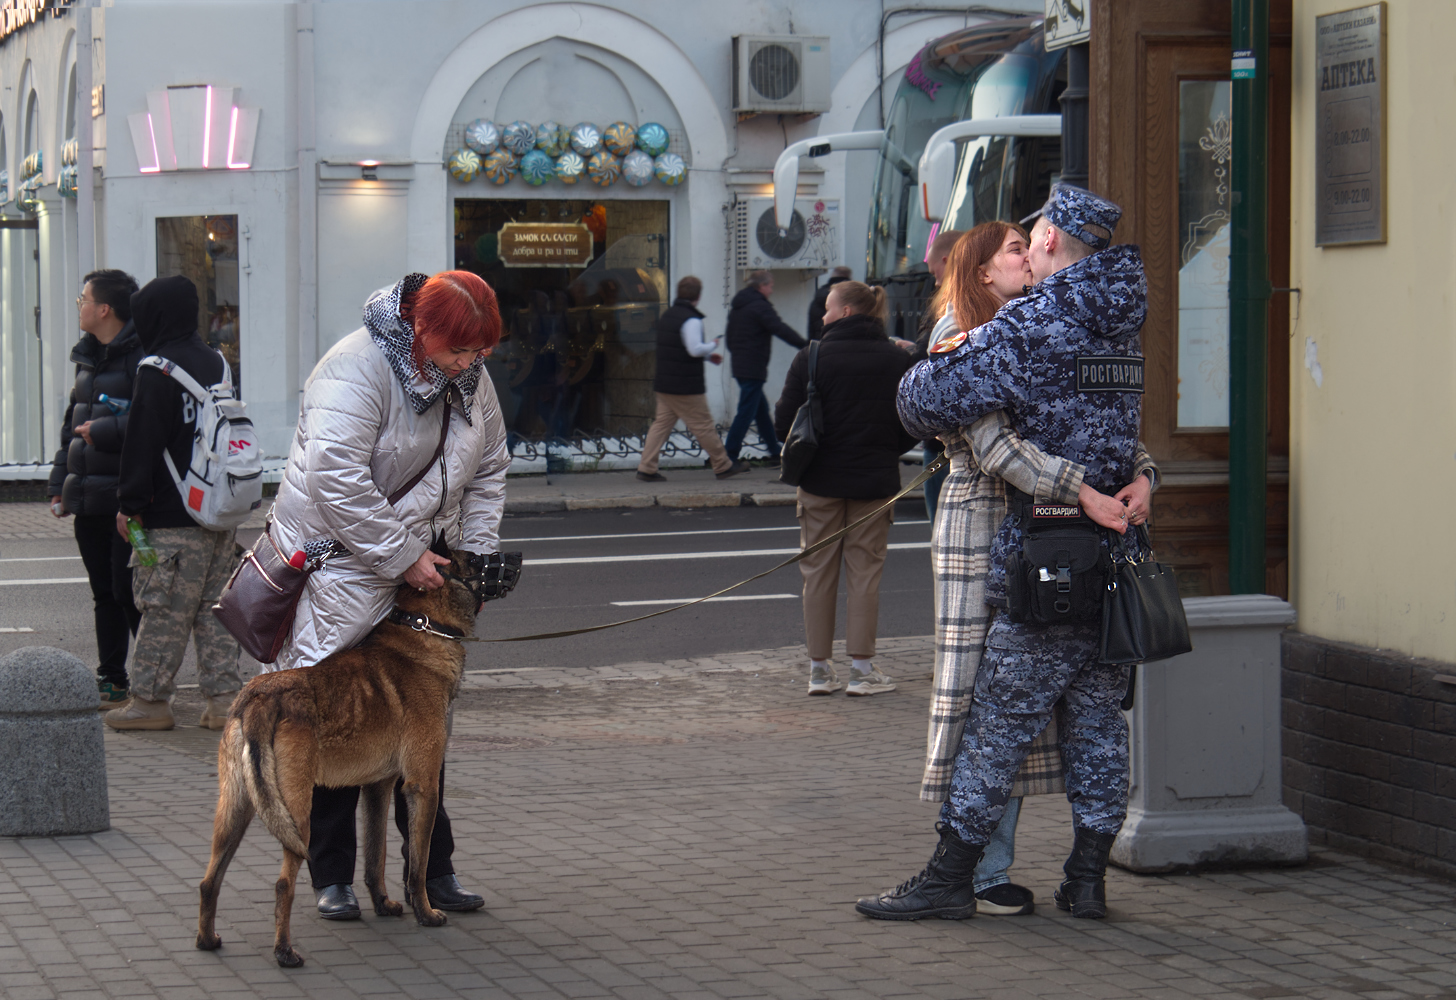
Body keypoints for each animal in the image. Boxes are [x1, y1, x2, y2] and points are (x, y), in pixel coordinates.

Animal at [195, 547, 483, 972]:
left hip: (235, 811)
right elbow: (418, 862)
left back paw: (207, 939)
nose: (514, 558)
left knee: (209, 879)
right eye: (477, 561)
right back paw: (284, 952)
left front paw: (382, 904)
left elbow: (375, 858)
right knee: (283, 884)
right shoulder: (422, 786)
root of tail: (260, 696)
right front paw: (426, 913)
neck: (421, 629)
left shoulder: (378, 788)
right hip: (297, 815)